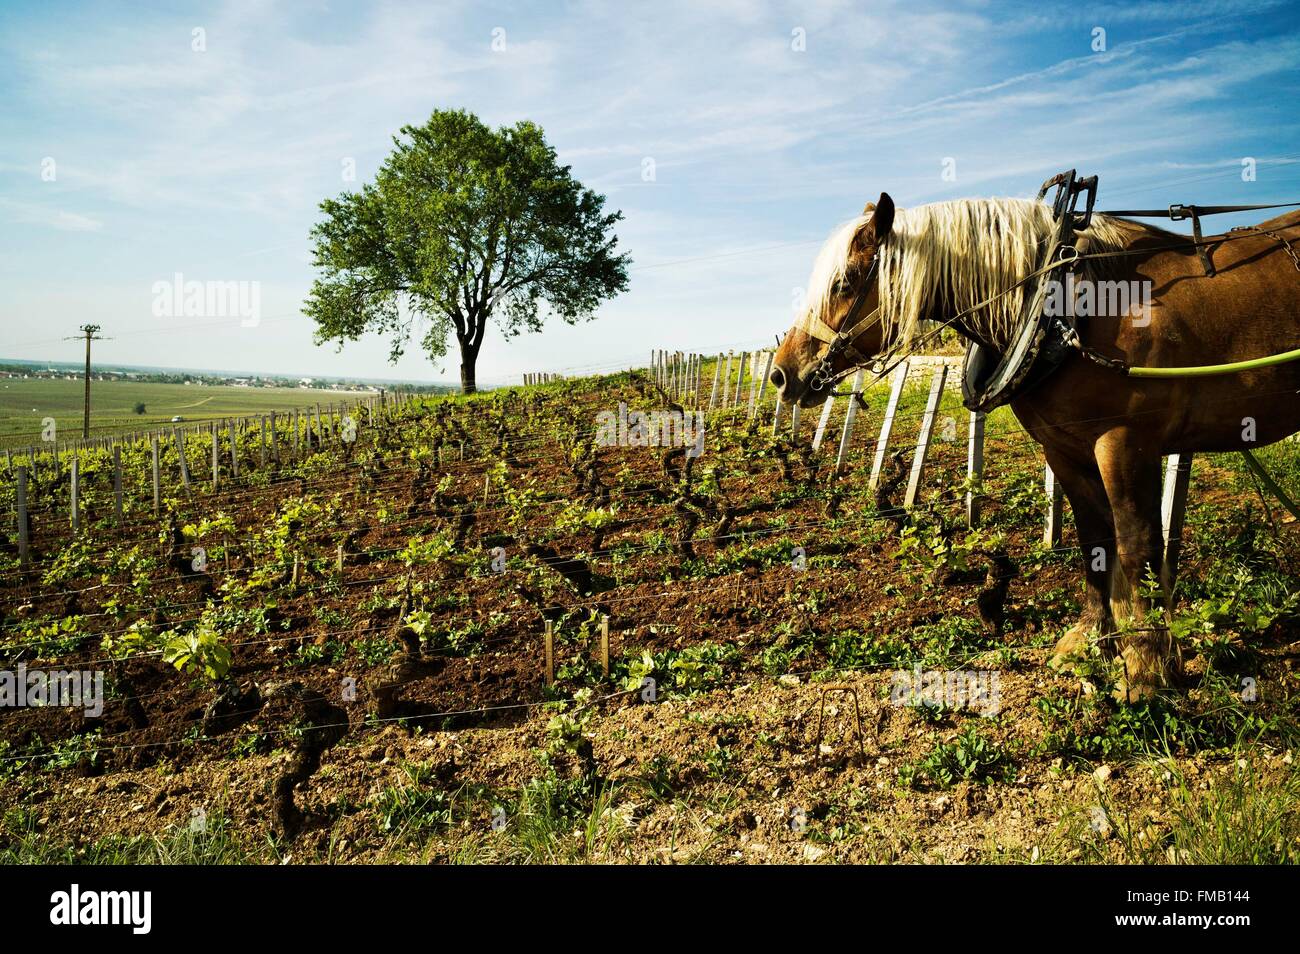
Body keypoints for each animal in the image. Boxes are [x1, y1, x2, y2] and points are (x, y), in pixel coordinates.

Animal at [769, 194, 1300, 701]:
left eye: (844, 282)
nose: (780, 372)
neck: (1069, 310)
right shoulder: (1064, 450)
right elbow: (1094, 543)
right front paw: (1090, 642)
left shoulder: (1127, 444)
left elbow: (1136, 548)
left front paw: (1146, 667)